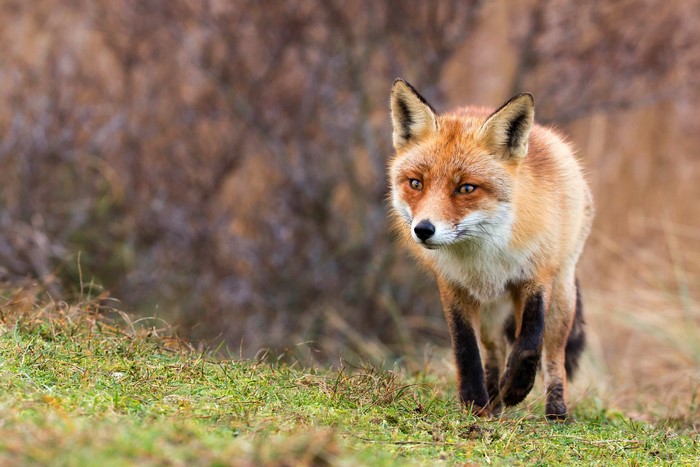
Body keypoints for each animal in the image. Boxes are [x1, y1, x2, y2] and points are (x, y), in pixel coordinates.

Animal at [388, 79, 593, 420]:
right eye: (416, 183)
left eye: (466, 188)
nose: (423, 230)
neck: (483, 256)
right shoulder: (453, 286)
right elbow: (466, 349)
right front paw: (474, 401)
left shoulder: (535, 277)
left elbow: (529, 344)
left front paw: (517, 388)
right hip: (491, 309)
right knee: (494, 348)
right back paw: (494, 400)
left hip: (562, 294)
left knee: (553, 355)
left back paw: (555, 411)